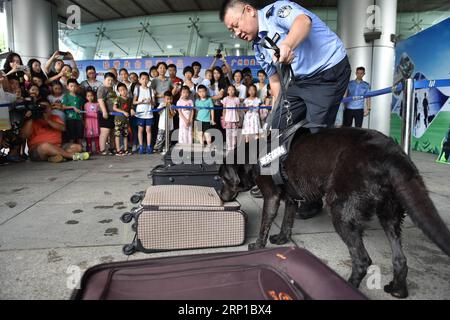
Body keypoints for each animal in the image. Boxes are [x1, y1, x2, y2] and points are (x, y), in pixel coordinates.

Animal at [219, 127, 450, 298]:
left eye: (222, 178)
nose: (221, 196)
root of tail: (391, 154)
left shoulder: (272, 196)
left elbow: (265, 223)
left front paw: (258, 245)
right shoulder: (292, 198)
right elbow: (287, 221)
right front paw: (282, 239)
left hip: (341, 211)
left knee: (362, 259)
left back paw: (348, 286)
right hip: (390, 214)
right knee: (400, 259)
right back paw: (398, 289)